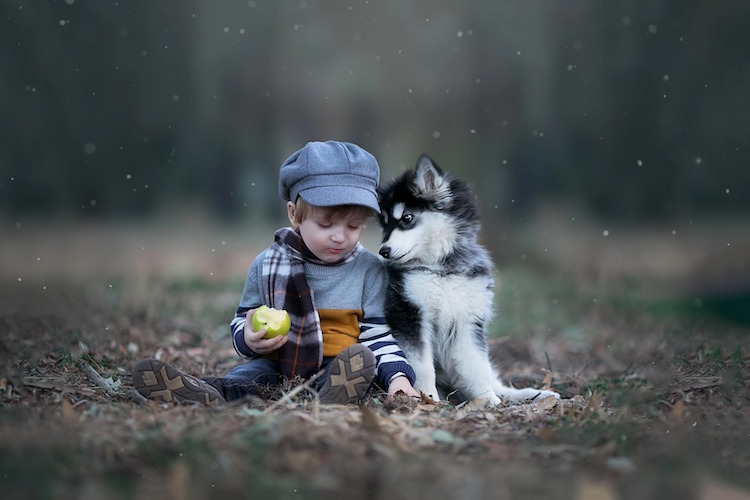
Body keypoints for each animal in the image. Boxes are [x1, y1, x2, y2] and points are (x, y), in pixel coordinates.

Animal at [378, 156, 560, 406]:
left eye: (407, 218)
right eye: (385, 224)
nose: (383, 251)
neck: (442, 267)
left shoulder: (467, 322)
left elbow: (476, 368)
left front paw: (490, 402)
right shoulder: (409, 317)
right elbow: (422, 367)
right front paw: (429, 399)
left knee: (492, 377)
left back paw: (531, 394)